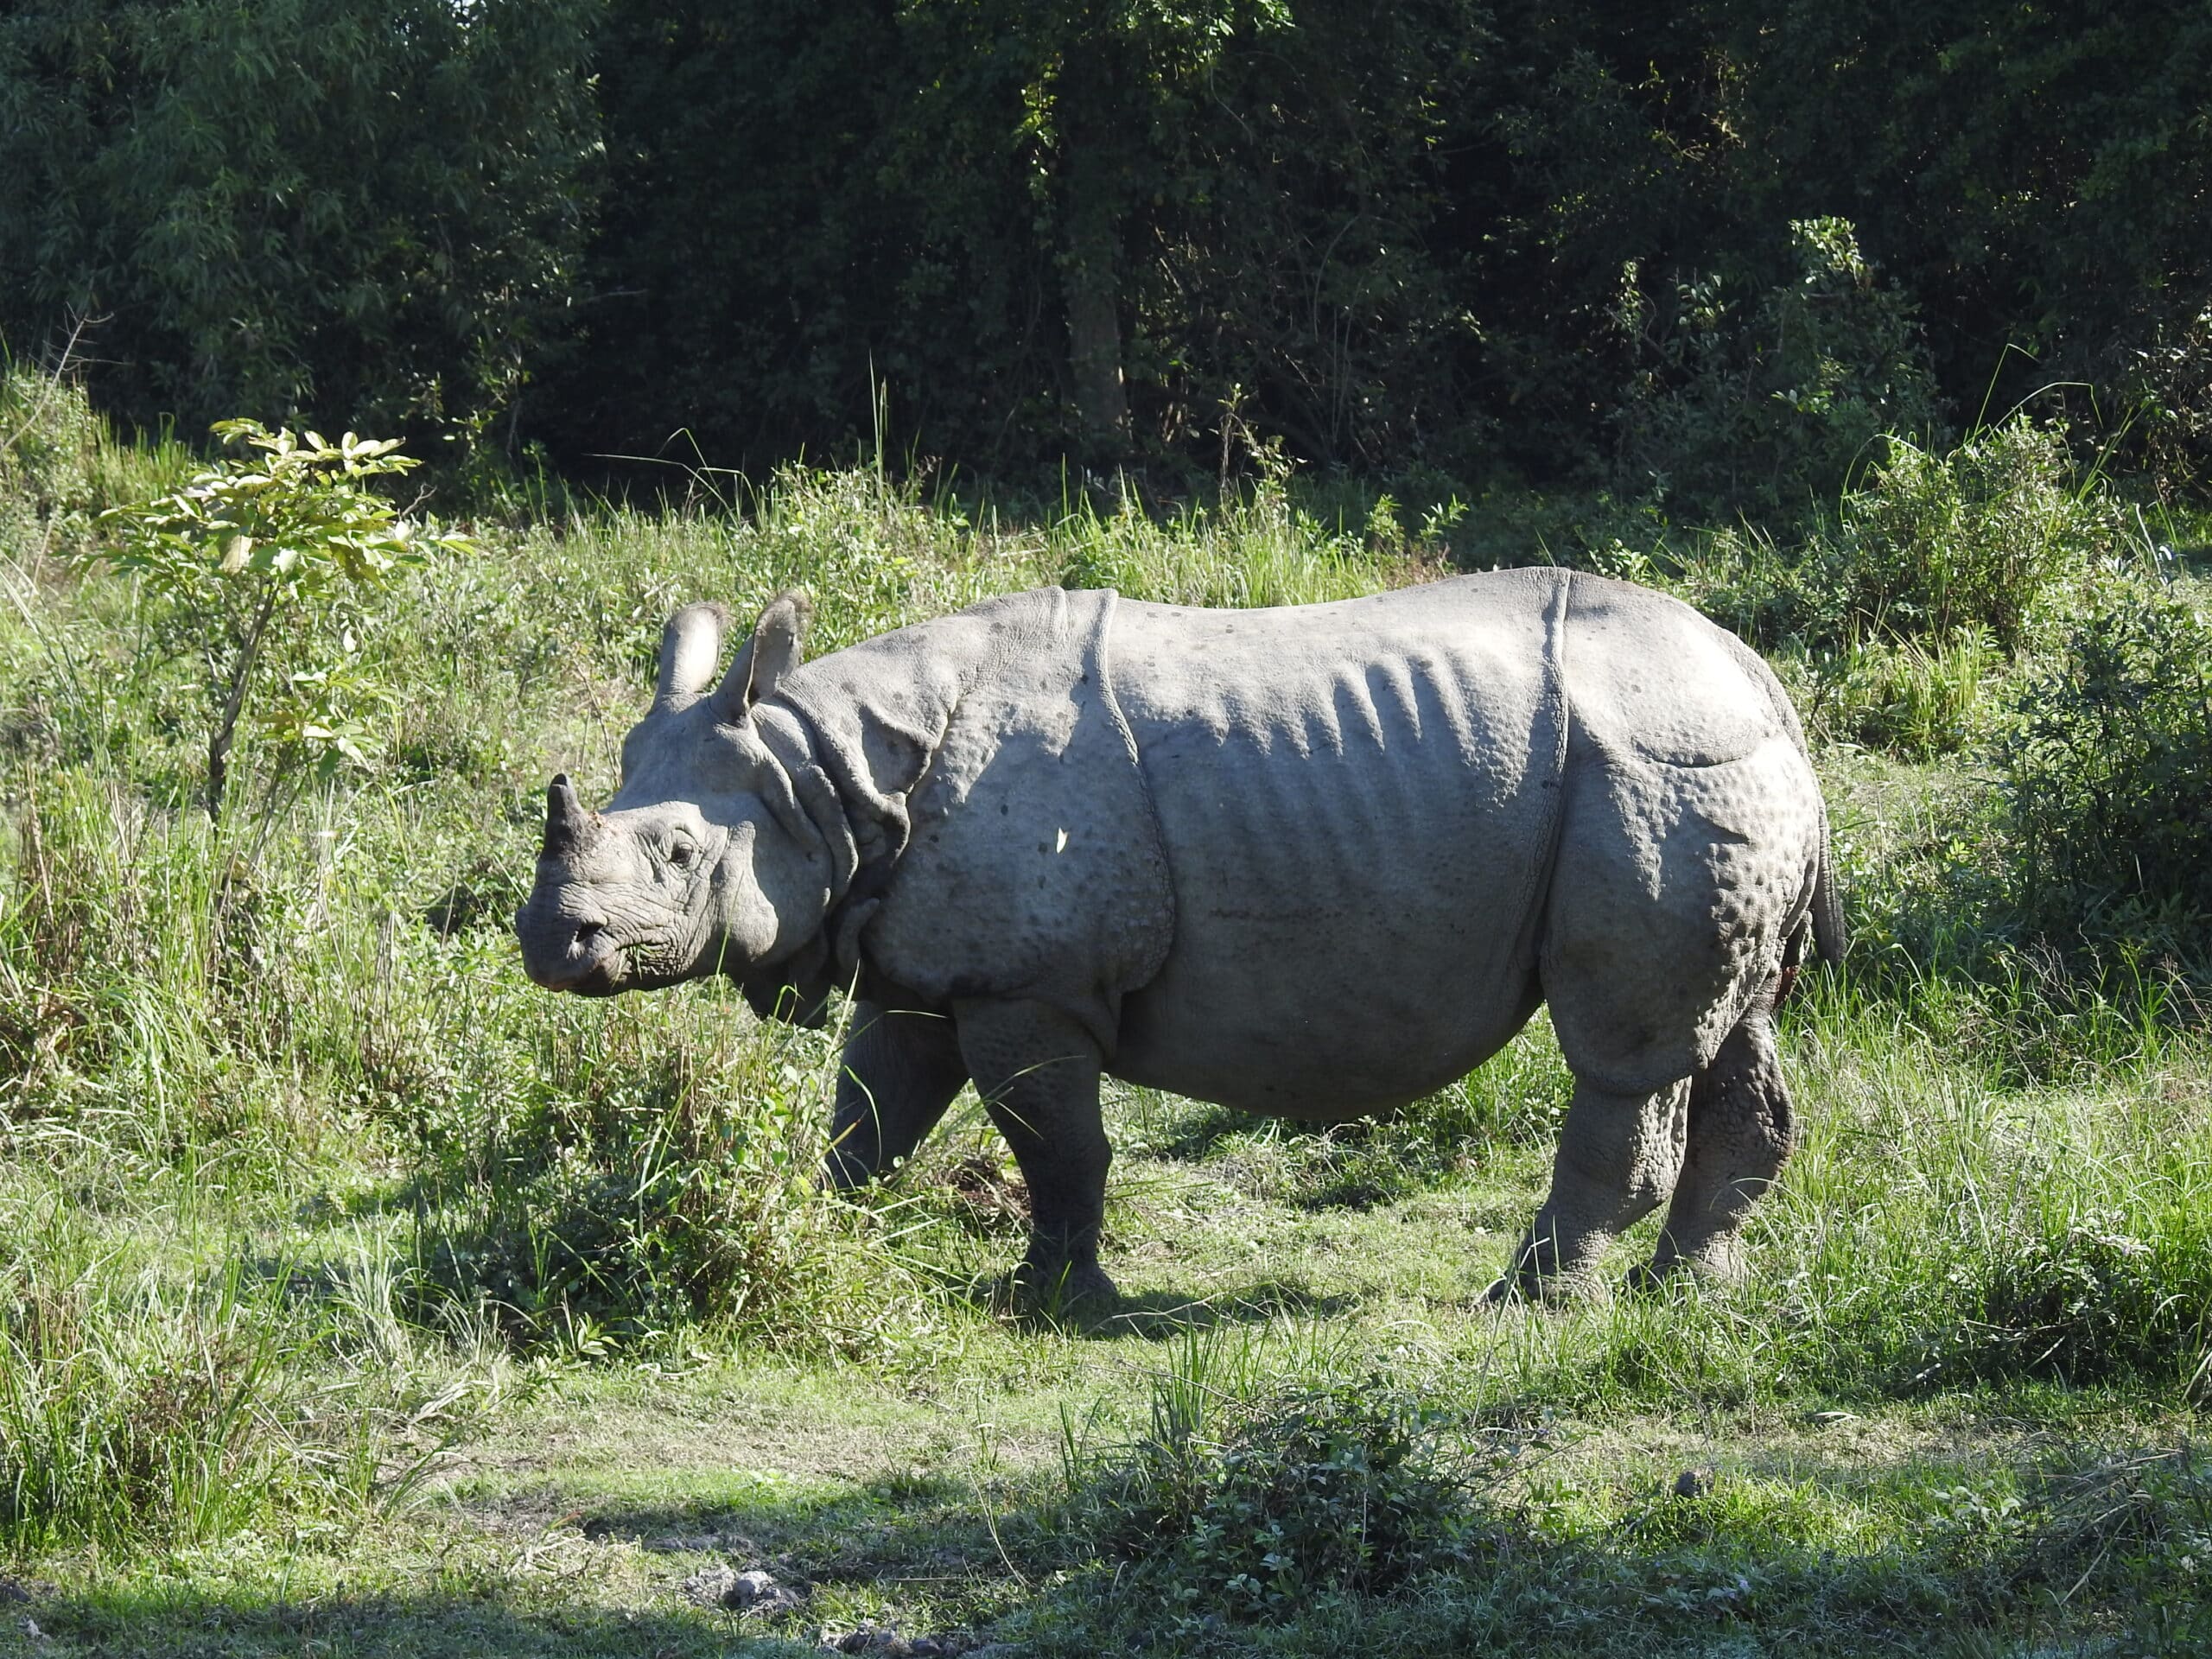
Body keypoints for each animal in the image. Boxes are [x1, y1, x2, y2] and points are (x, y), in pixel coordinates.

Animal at [516, 572, 1840, 1305]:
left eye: (675, 856)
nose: (550, 942)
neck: (825, 779)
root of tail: (1764, 681)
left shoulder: (1028, 983)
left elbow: (1058, 1145)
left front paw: (1055, 1303)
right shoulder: (927, 968)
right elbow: (870, 1121)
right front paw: (824, 1232)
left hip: (1655, 775)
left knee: (1625, 1055)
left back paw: (1527, 1303)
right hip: (1715, 775)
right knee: (1736, 1026)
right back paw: (1691, 1295)